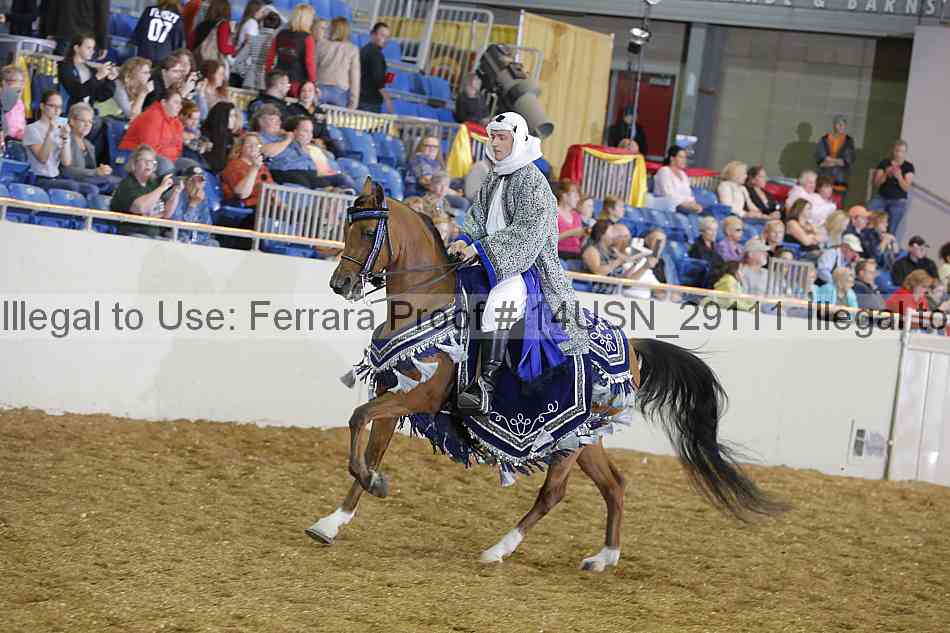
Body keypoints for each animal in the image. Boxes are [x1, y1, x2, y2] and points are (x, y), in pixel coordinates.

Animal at [307, 178, 783, 571]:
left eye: (367, 232)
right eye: (346, 228)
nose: (339, 283)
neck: (427, 305)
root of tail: (631, 346)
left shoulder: (419, 396)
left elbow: (358, 420)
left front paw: (372, 485)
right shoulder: (392, 390)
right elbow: (369, 442)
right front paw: (335, 518)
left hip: (569, 440)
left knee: (554, 493)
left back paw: (499, 549)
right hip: (582, 437)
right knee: (615, 484)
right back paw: (604, 557)